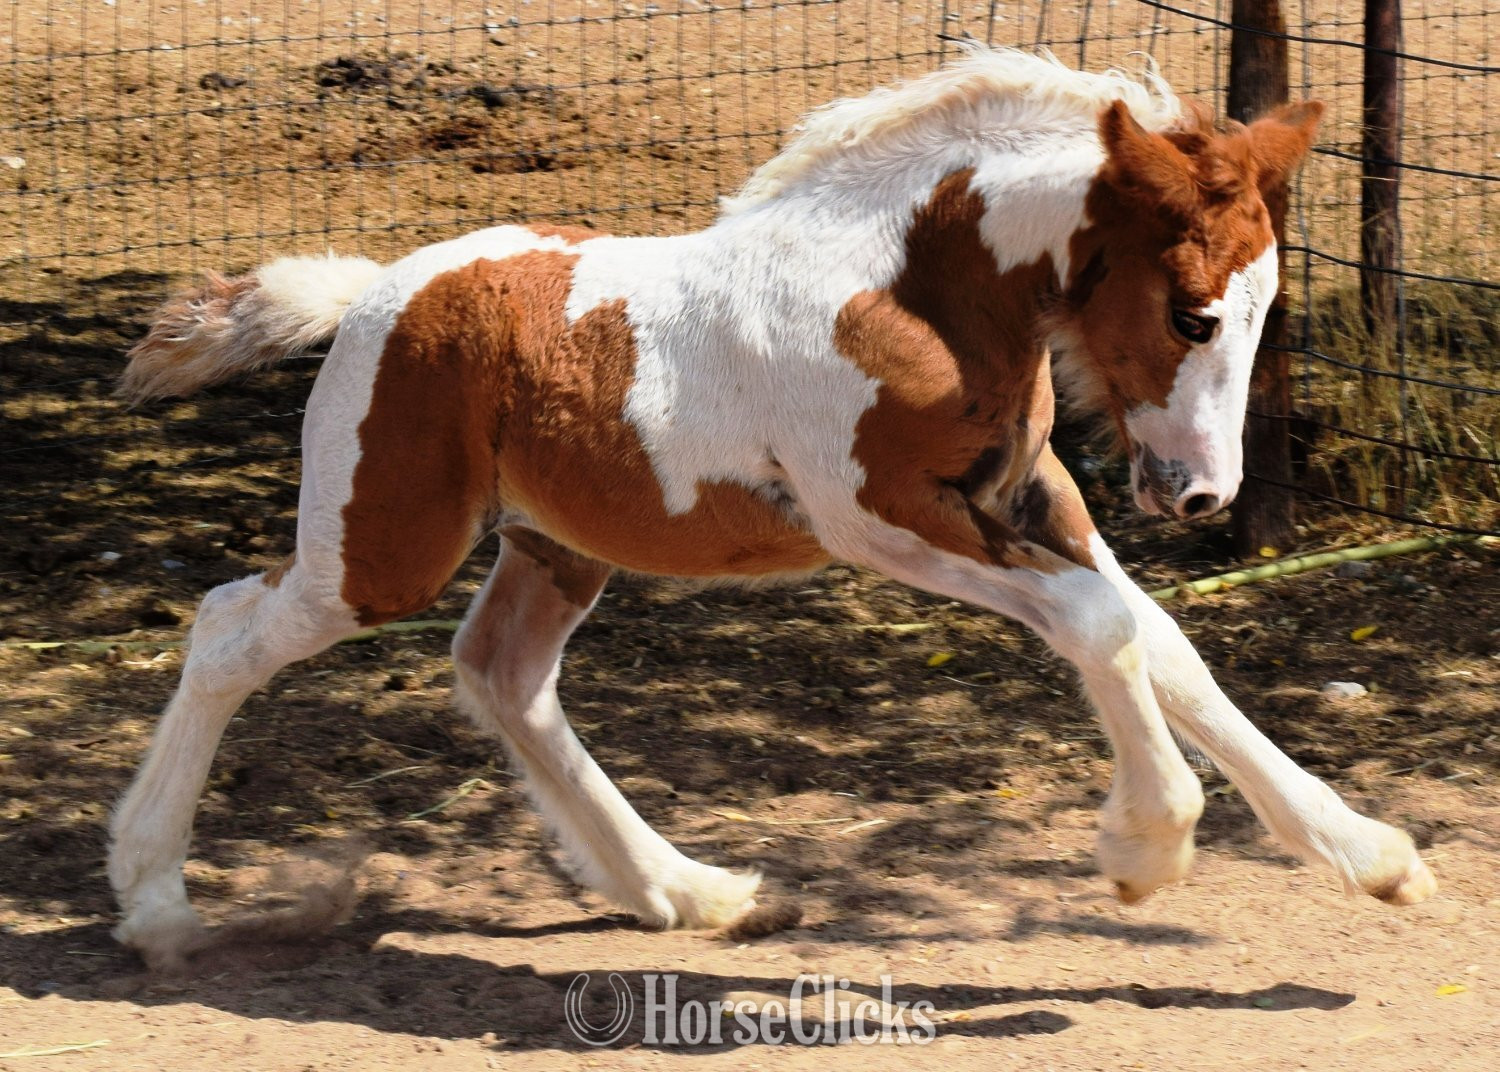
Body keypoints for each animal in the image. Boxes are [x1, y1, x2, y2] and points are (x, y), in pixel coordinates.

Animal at [109, 48, 1435, 971]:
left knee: (503, 674)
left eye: (1263, 309)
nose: (1204, 491)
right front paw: (1145, 849)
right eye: (1192, 313)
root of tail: (374, 292)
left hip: (555, 546)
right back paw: (154, 898)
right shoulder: (881, 517)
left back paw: (685, 889)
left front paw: (1372, 853)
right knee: (227, 629)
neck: (911, 293)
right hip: (381, 546)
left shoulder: (1029, 491)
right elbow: (1099, 627)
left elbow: (1158, 640)